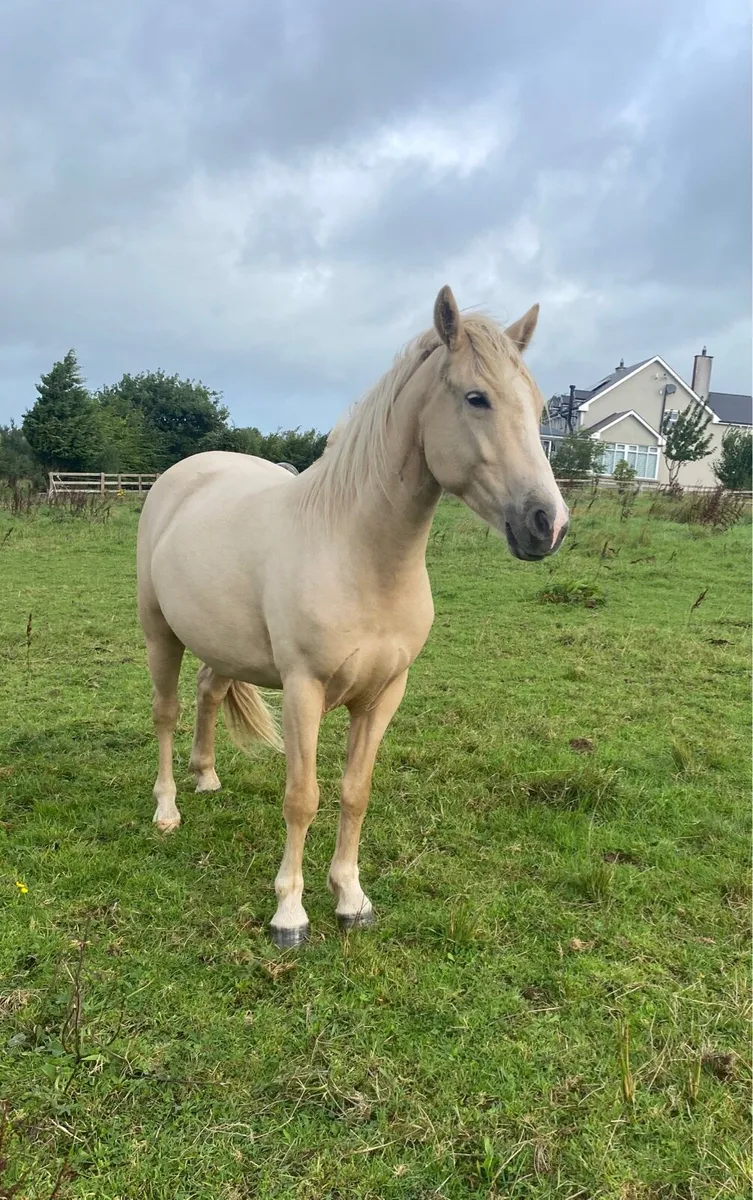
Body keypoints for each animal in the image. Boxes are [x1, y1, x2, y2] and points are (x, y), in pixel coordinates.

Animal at [136, 286, 569, 948]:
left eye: (541, 406)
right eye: (477, 397)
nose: (548, 523)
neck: (357, 550)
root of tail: (182, 475)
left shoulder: (384, 694)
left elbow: (355, 793)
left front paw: (350, 898)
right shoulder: (304, 690)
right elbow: (302, 797)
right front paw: (290, 912)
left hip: (220, 643)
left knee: (209, 691)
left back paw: (205, 776)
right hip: (160, 631)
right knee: (166, 712)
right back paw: (167, 810)